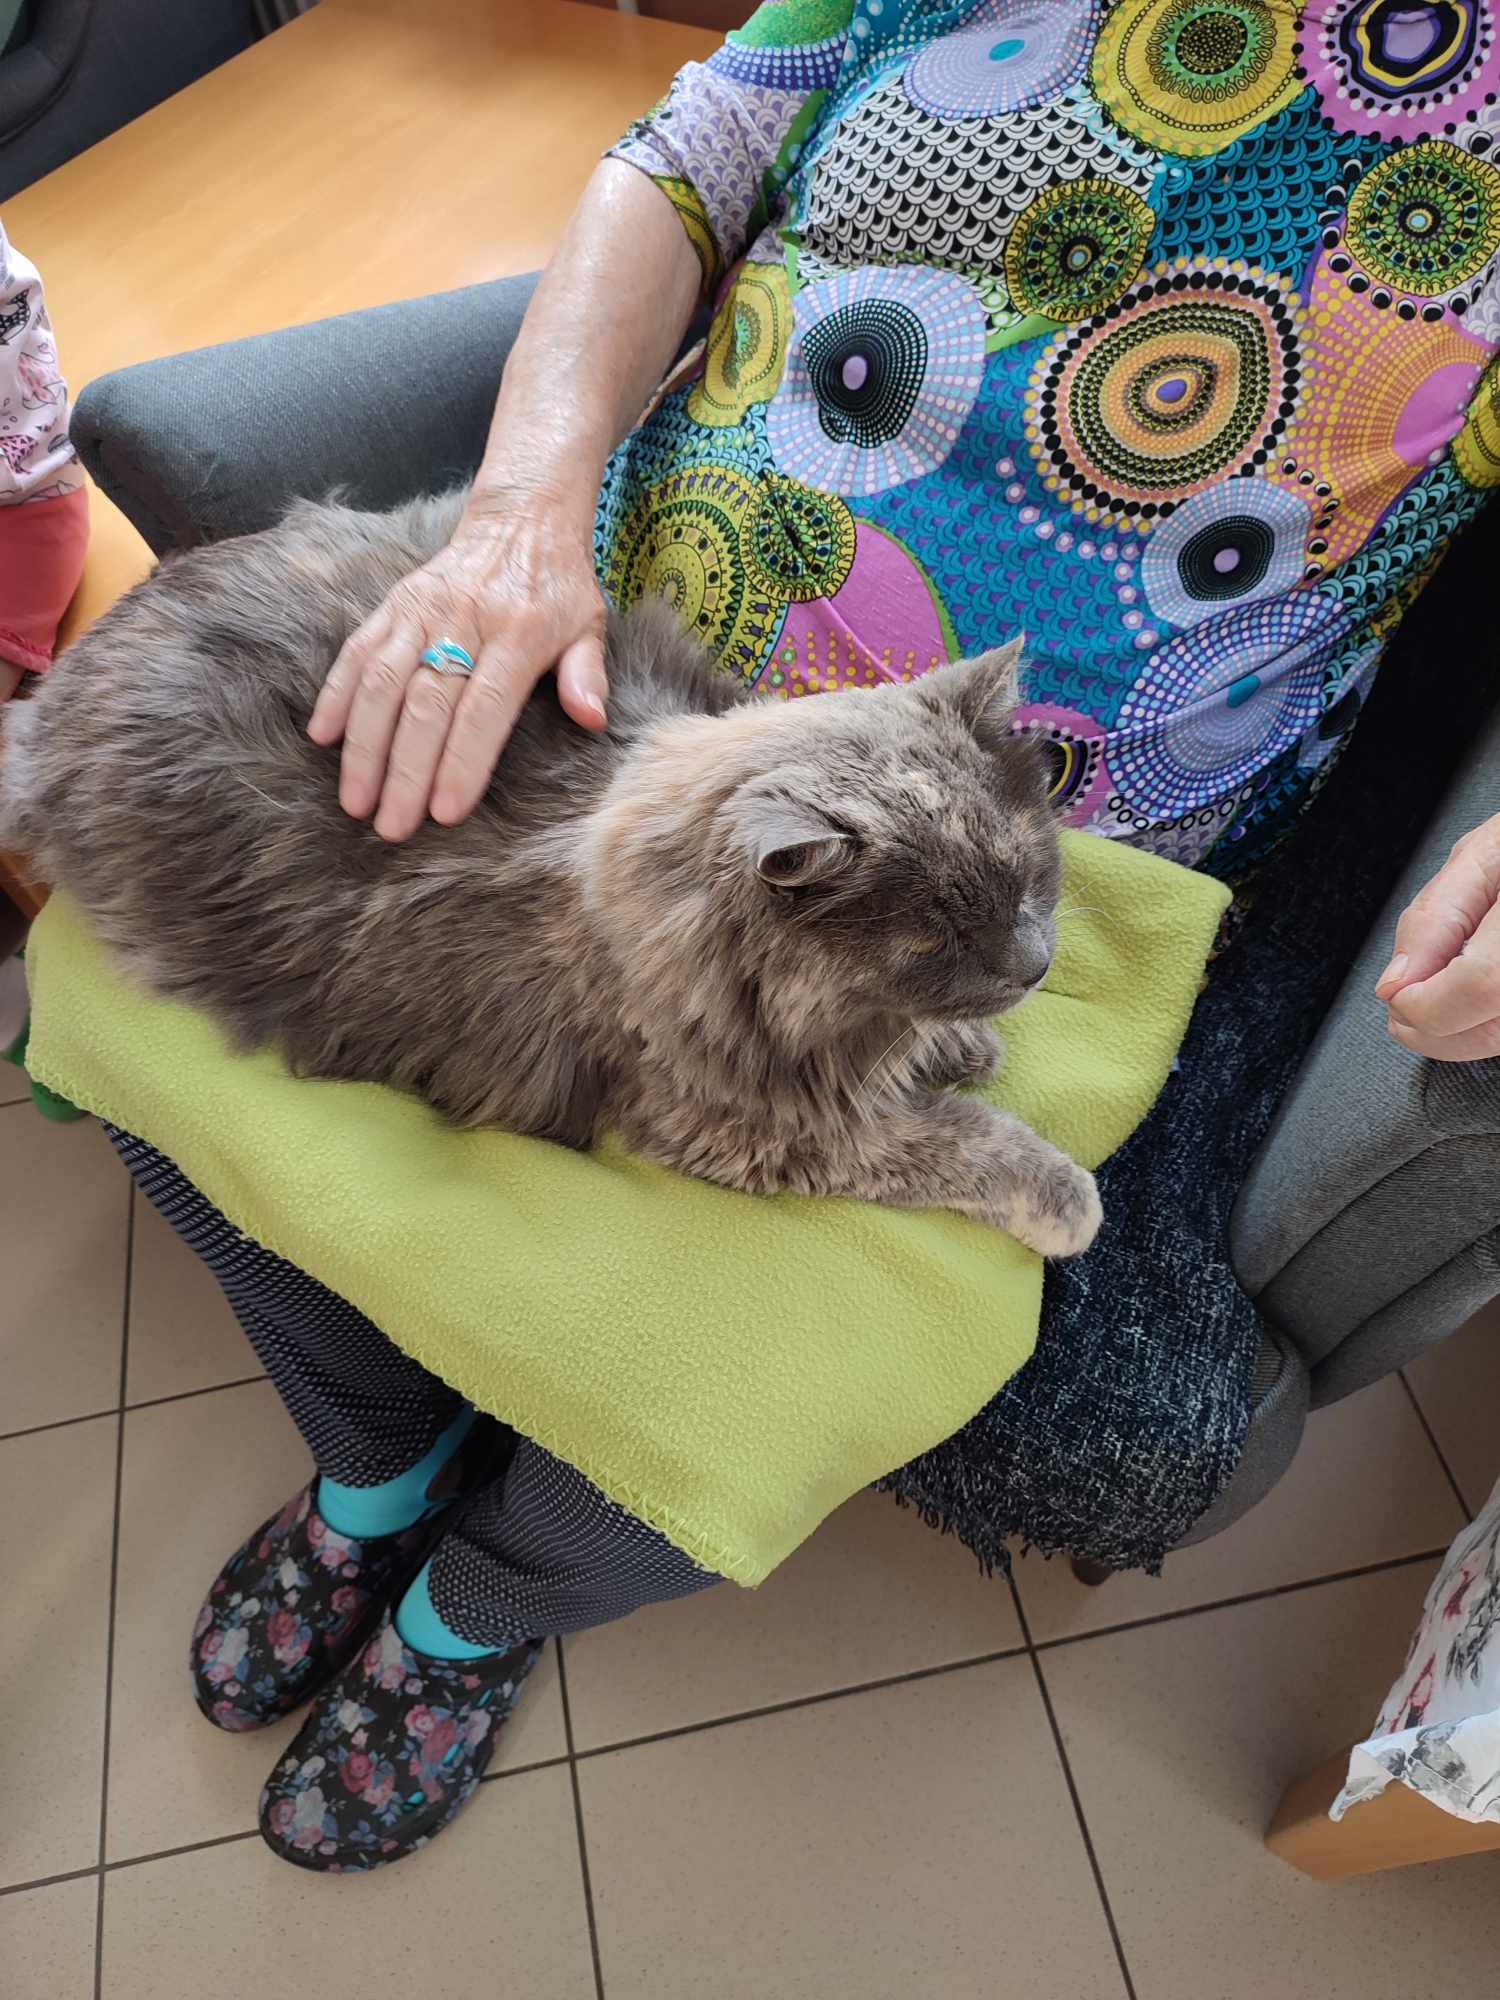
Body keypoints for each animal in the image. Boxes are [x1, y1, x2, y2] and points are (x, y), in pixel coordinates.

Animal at [0, 490, 1101, 1257]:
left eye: (1030, 881)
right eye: (937, 933)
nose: (1036, 967)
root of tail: (53, 695)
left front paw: (962, 1044)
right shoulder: (750, 1129)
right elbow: (957, 1140)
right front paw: (1058, 1189)